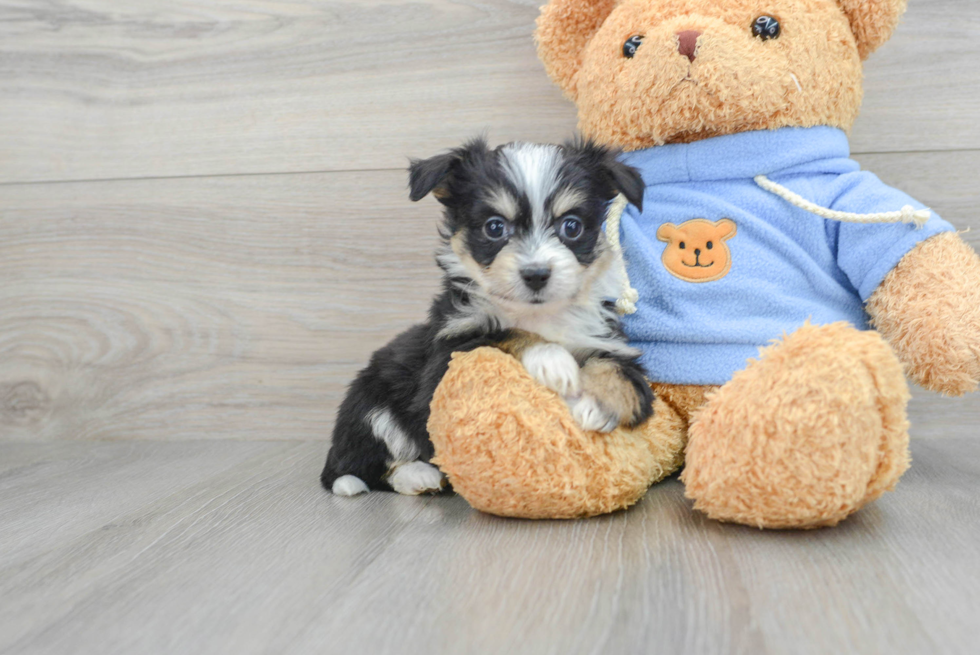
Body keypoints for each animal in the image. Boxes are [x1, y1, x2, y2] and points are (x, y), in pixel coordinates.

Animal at [322, 138, 656, 498]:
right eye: (494, 227)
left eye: (572, 226)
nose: (536, 274)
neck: (540, 314)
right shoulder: (450, 354)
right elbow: (505, 332)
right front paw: (552, 359)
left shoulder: (611, 344)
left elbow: (619, 372)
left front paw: (599, 402)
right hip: (370, 405)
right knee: (372, 465)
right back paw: (417, 476)